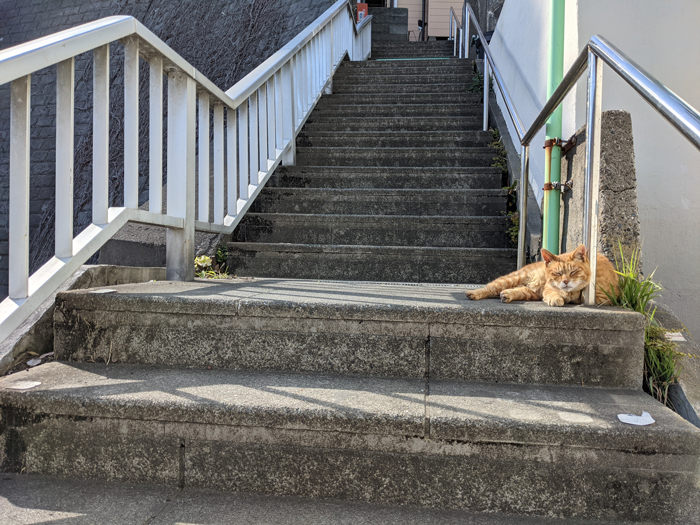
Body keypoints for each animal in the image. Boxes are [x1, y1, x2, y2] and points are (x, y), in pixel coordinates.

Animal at [464, 244, 616, 304]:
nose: (566, 281)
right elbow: (553, 293)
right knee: (490, 287)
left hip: (531, 292)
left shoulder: (604, 298)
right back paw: (474, 293)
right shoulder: (548, 288)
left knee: (516, 291)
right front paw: (557, 298)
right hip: (511, 279)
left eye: (573, 272)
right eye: (557, 273)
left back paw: (506, 295)